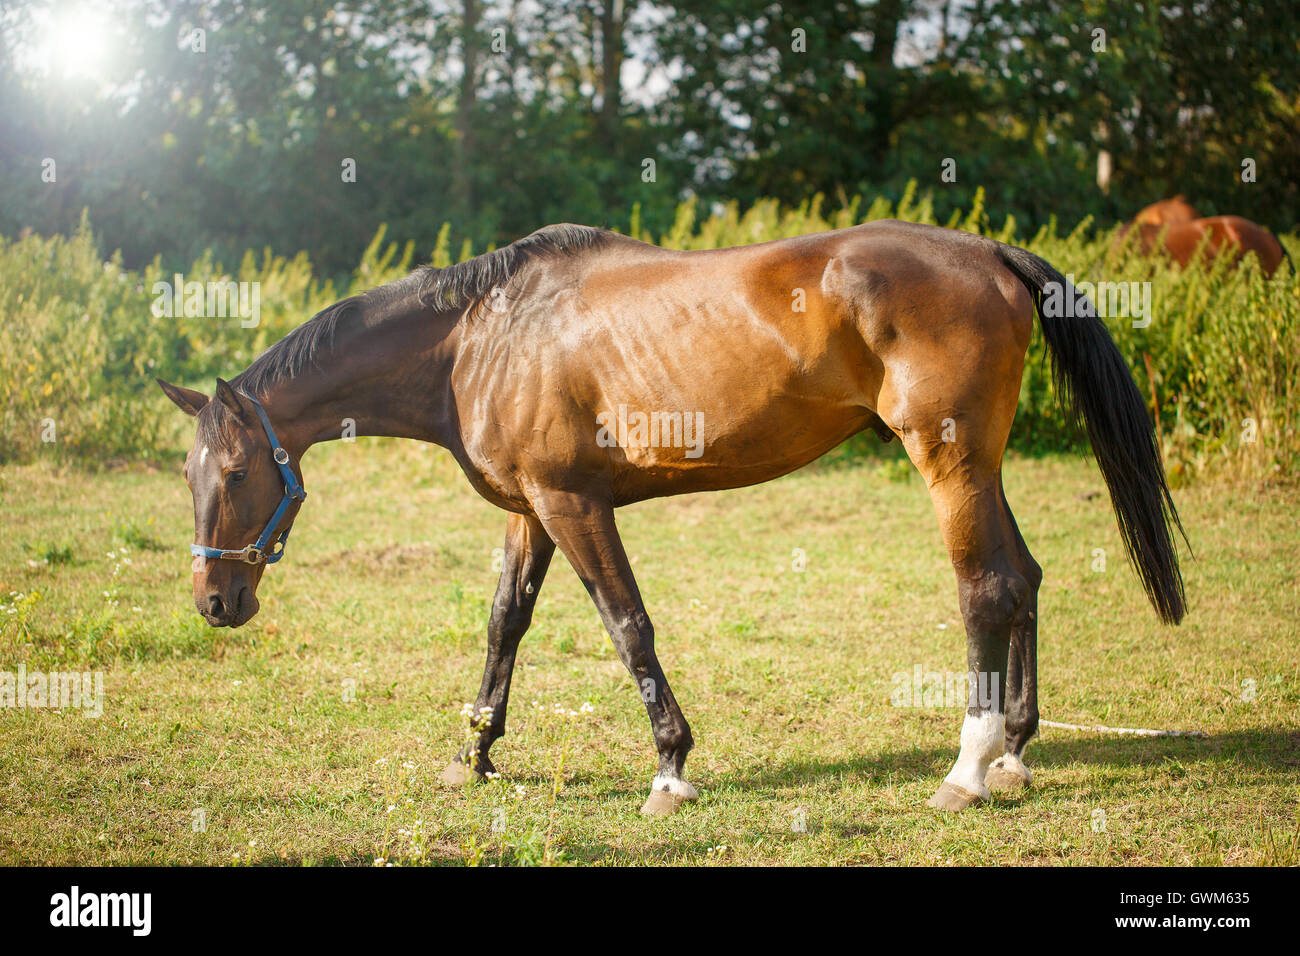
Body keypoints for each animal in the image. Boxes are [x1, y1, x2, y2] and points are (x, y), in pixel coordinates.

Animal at [157, 220, 1186, 815]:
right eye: (189, 472)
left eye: (238, 471)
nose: (213, 601)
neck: (480, 335)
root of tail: (987, 254)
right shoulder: (531, 510)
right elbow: (504, 625)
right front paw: (473, 754)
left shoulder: (574, 504)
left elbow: (628, 627)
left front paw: (670, 767)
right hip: (979, 465)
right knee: (1025, 579)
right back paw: (1013, 753)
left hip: (949, 460)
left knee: (987, 587)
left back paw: (968, 770)